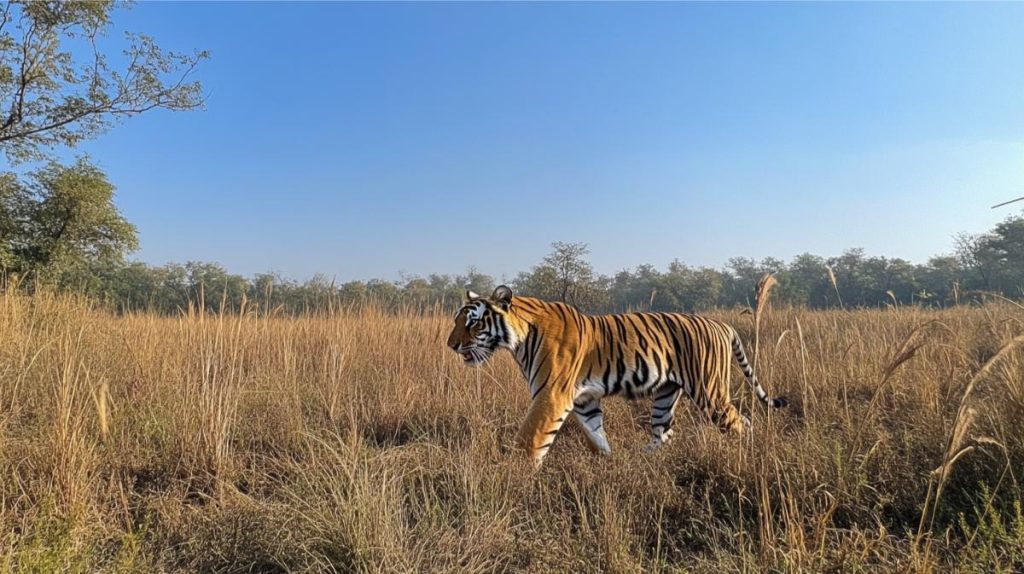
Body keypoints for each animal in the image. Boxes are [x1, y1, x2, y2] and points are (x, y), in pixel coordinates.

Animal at [444, 284, 786, 468]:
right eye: (457, 321)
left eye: (473, 323)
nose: (451, 345)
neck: (519, 338)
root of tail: (722, 324)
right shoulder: (584, 400)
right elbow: (596, 435)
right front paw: (608, 462)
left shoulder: (550, 395)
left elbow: (530, 439)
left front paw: (515, 473)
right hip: (666, 395)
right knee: (665, 433)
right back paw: (641, 459)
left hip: (709, 391)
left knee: (741, 422)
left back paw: (747, 454)